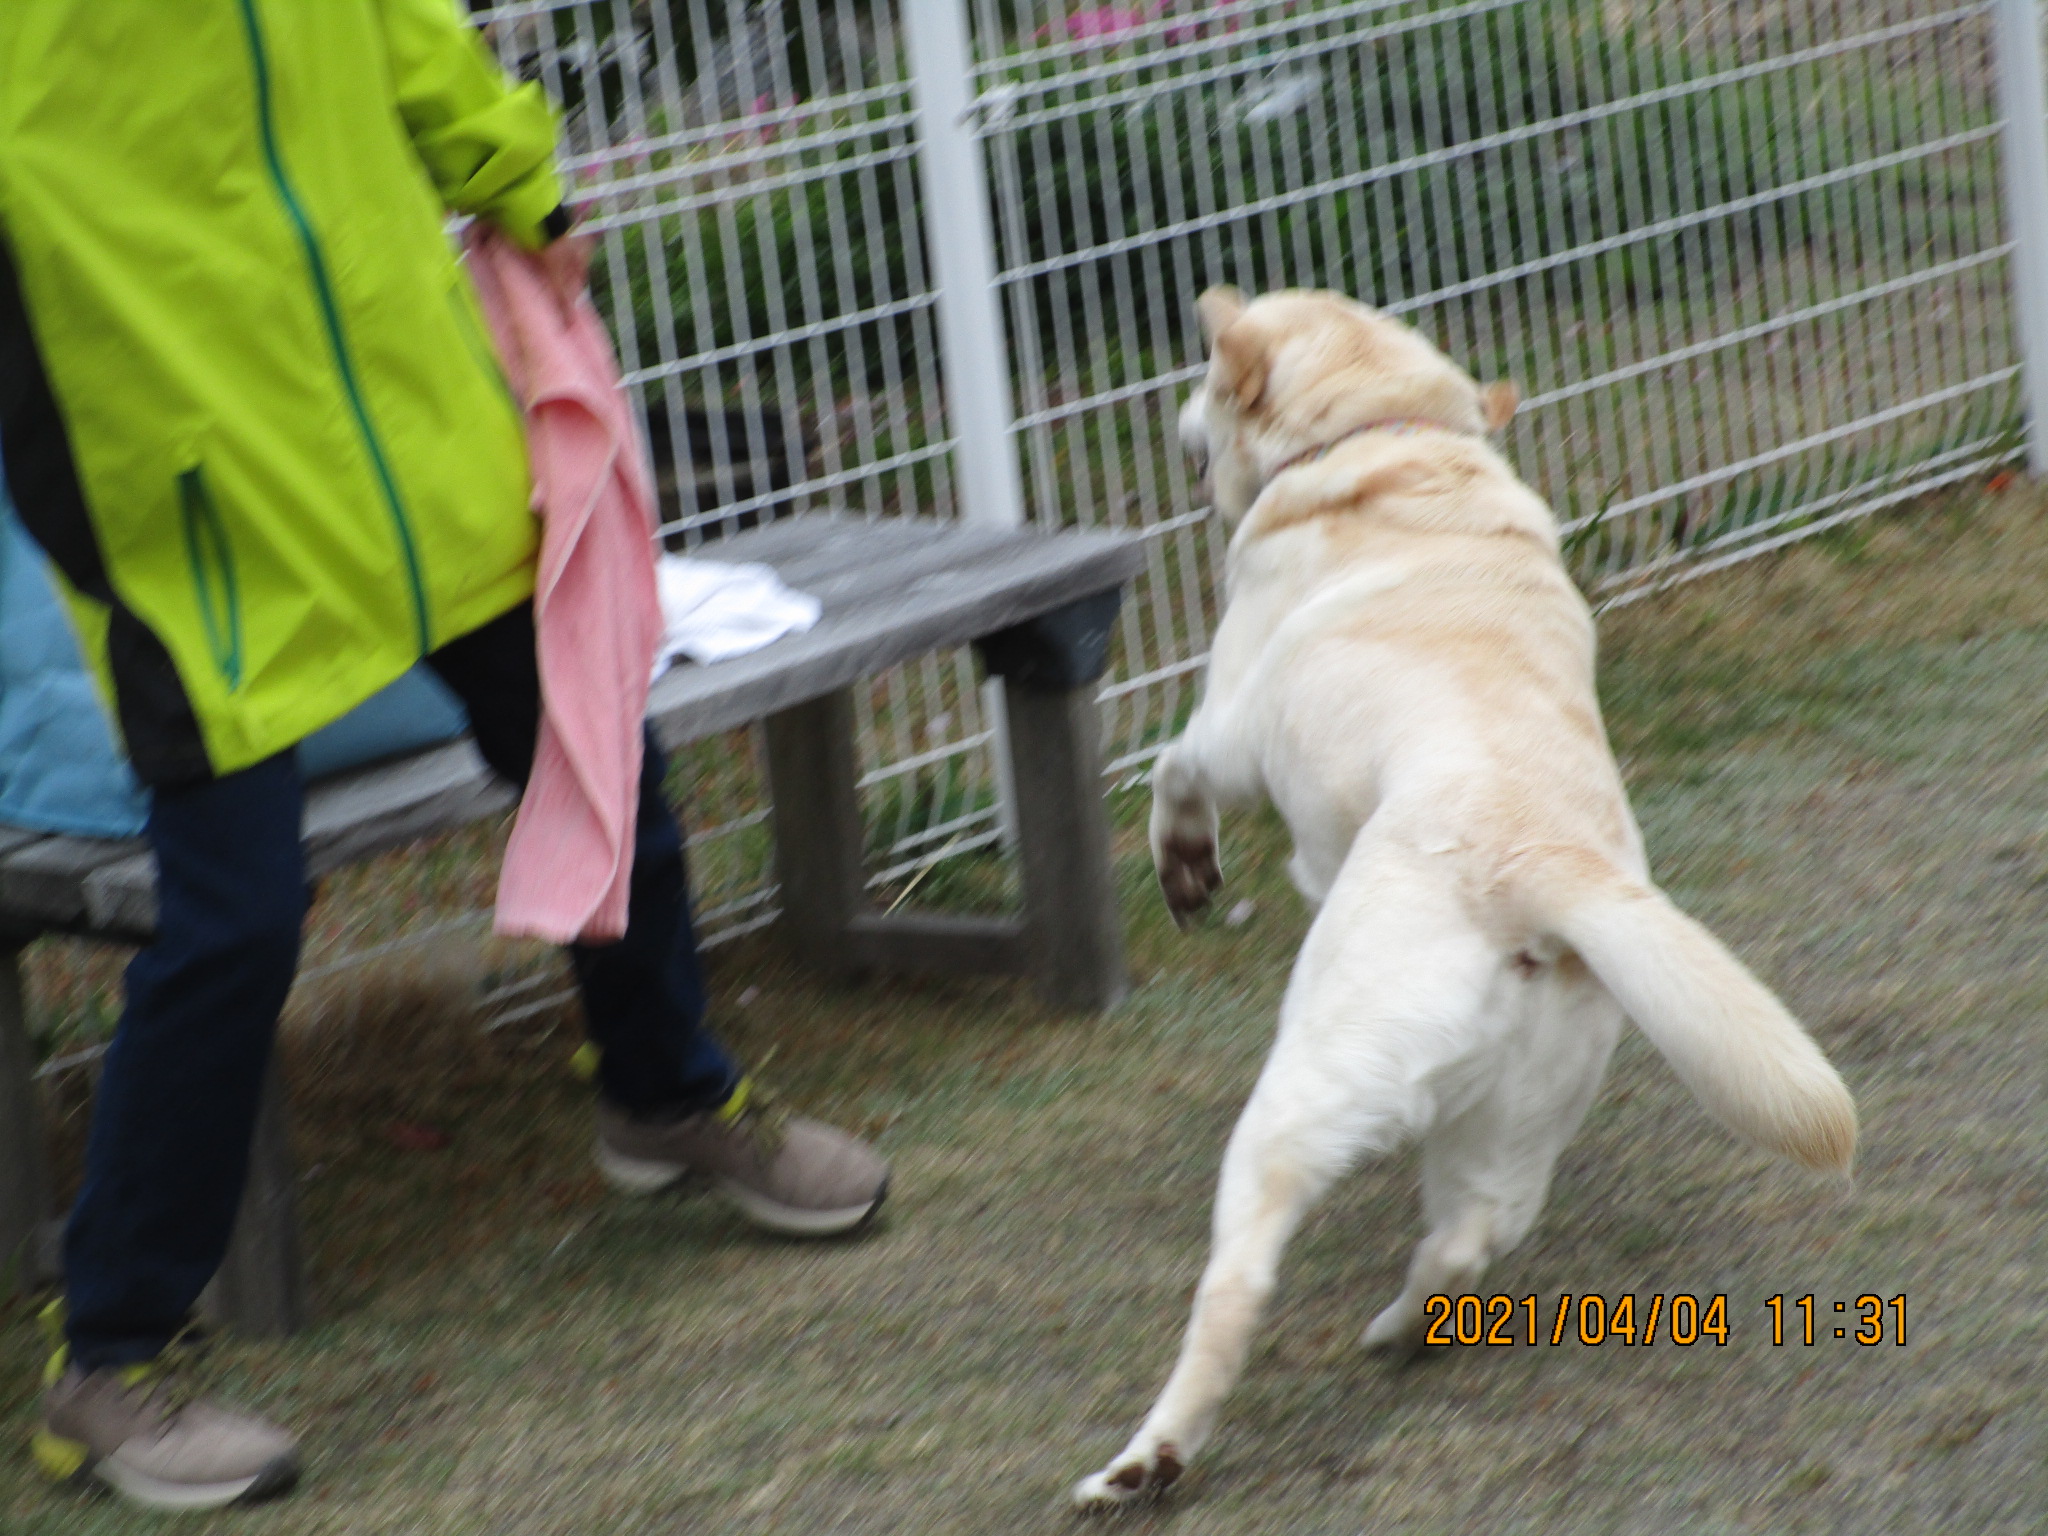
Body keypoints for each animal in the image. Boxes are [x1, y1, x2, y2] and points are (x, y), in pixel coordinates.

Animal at [1072, 287, 1856, 1508]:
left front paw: (1186, 871)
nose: (1173, 419)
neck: (1381, 435)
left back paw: (1147, 1460)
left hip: (1300, 1100)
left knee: (1240, 1286)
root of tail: (1539, 866)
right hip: (1507, 1130)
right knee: (1461, 1250)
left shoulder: (1234, 725)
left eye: (1204, 374)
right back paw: (1395, 1333)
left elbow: (1172, 771)